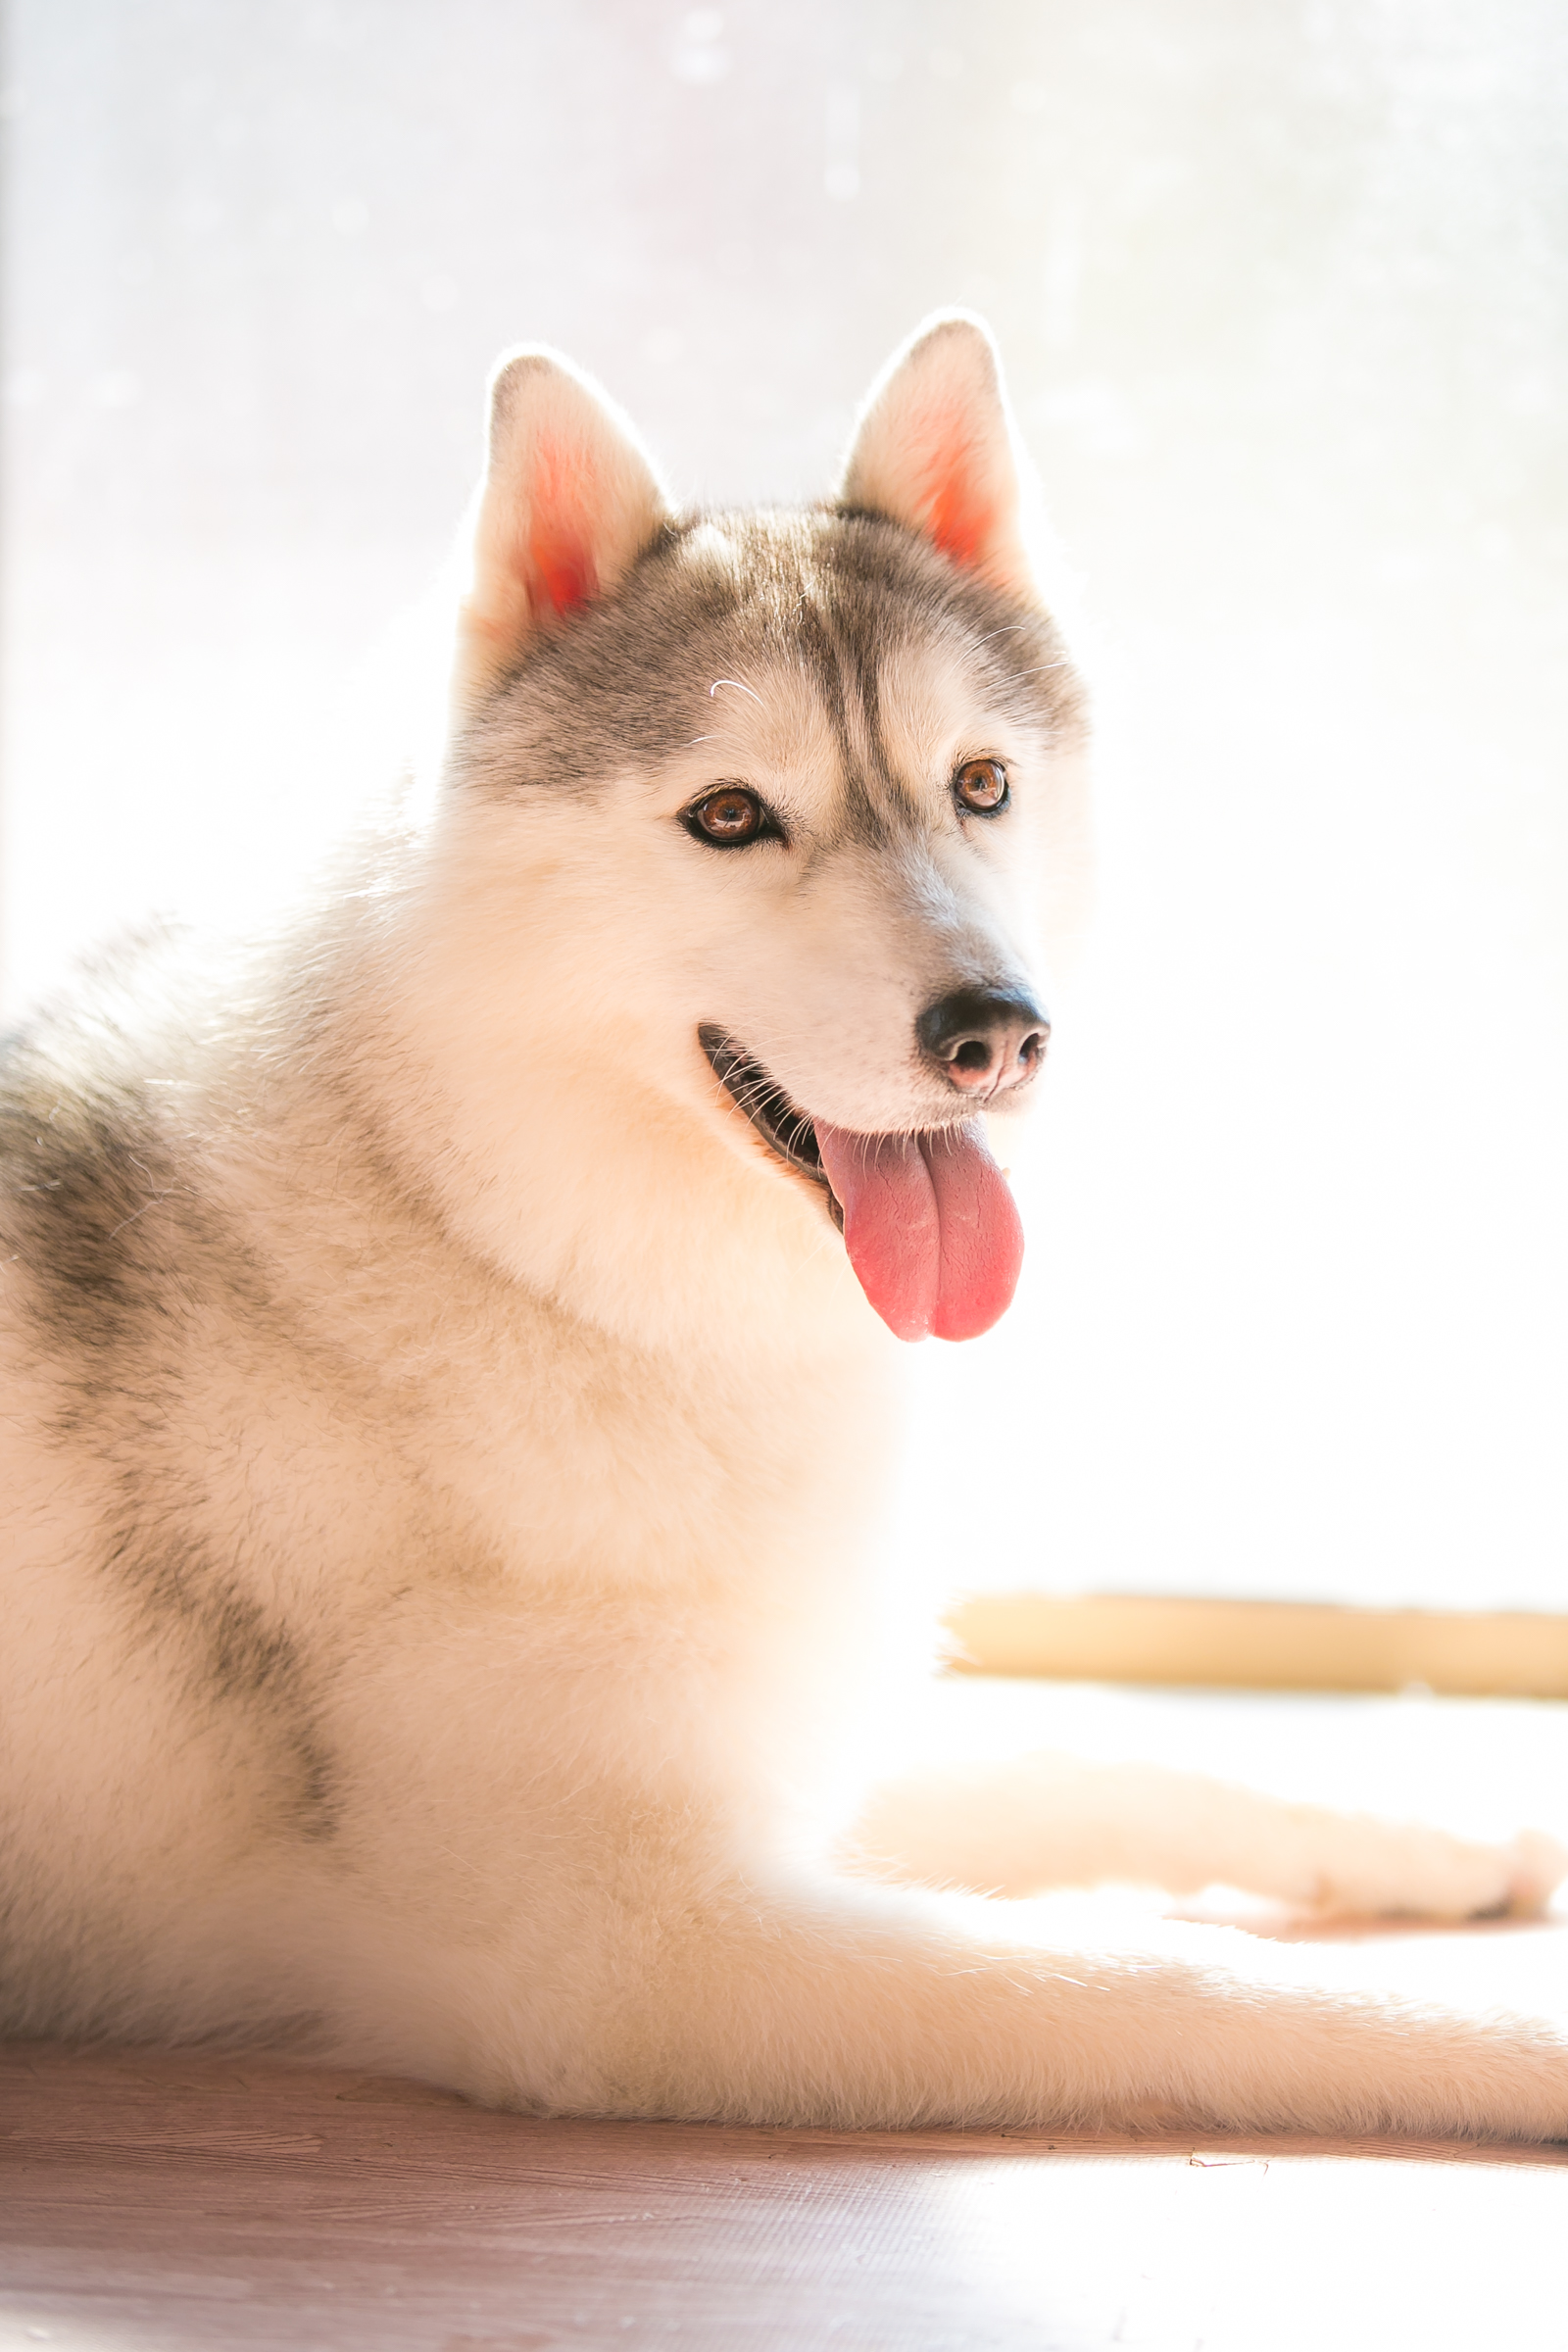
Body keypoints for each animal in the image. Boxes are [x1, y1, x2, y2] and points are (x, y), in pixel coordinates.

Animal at [3, 313, 1566, 2136]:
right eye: (732, 815)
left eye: (981, 785)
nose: (997, 1035)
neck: (518, 1256)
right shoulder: (632, 1961)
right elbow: (1175, 1983)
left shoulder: (796, 1745)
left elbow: (1104, 1755)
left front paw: (1422, 1839)